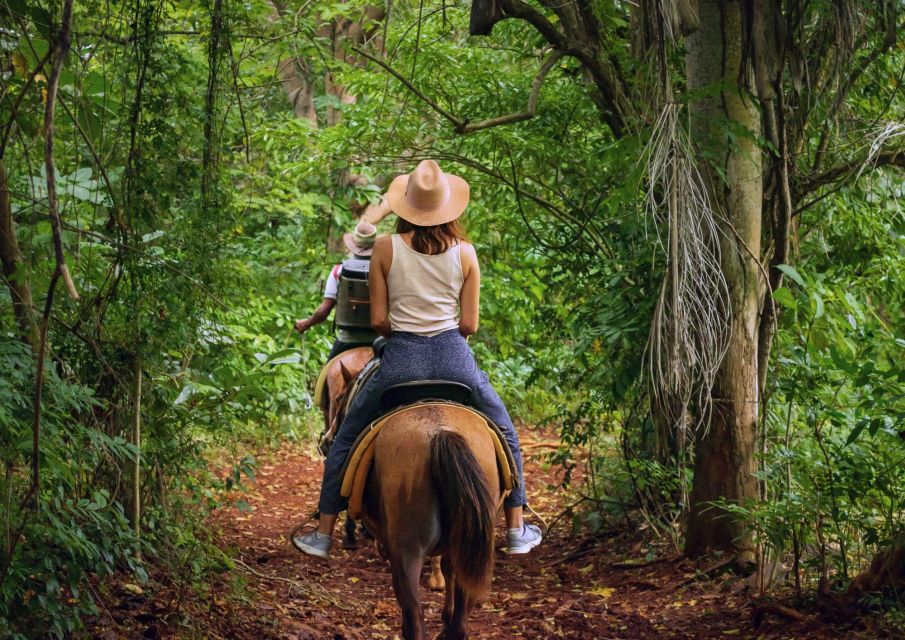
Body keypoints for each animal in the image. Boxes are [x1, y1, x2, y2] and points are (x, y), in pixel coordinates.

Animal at [356, 404, 502, 640]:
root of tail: (441, 432)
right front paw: (446, 614)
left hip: (407, 546)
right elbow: (448, 568)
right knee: (461, 619)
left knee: (414, 612)